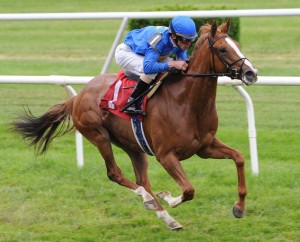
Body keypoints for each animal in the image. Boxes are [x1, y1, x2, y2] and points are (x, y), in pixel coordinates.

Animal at [12, 19, 258, 231]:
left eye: (237, 45)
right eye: (223, 49)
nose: (251, 73)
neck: (187, 103)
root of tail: (78, 96)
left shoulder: (204, 147)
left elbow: (239, 157)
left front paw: (239, 207)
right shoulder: (165, 155)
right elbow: (188, 190)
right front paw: (168, 198)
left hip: (133, 145)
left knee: (142, 180)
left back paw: (166, 218)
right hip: (98, 135)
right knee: (116, 174)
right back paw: (148, 199)